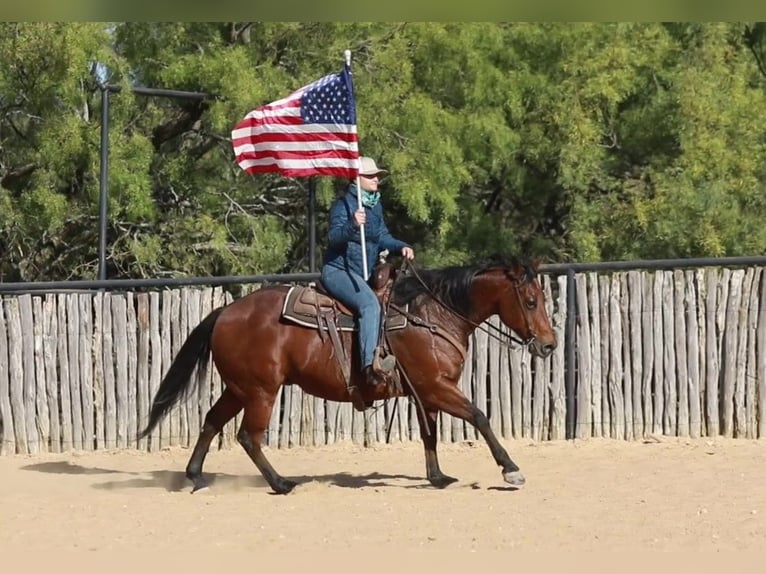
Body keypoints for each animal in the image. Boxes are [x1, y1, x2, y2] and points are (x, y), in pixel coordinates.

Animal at [140, 256, 560, 496]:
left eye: (541, 298)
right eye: (530, 301)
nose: (549, 344)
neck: (432, 315)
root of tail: (225, 312)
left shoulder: (426, 392)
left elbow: (430, 434)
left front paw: (438, 476)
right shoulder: (437, 388)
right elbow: (479, 416)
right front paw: (511, 470)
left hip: (238, 388)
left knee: (212, 421)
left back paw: (195, 476)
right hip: (261, 391)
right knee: (248, 436)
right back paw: (281, 484)